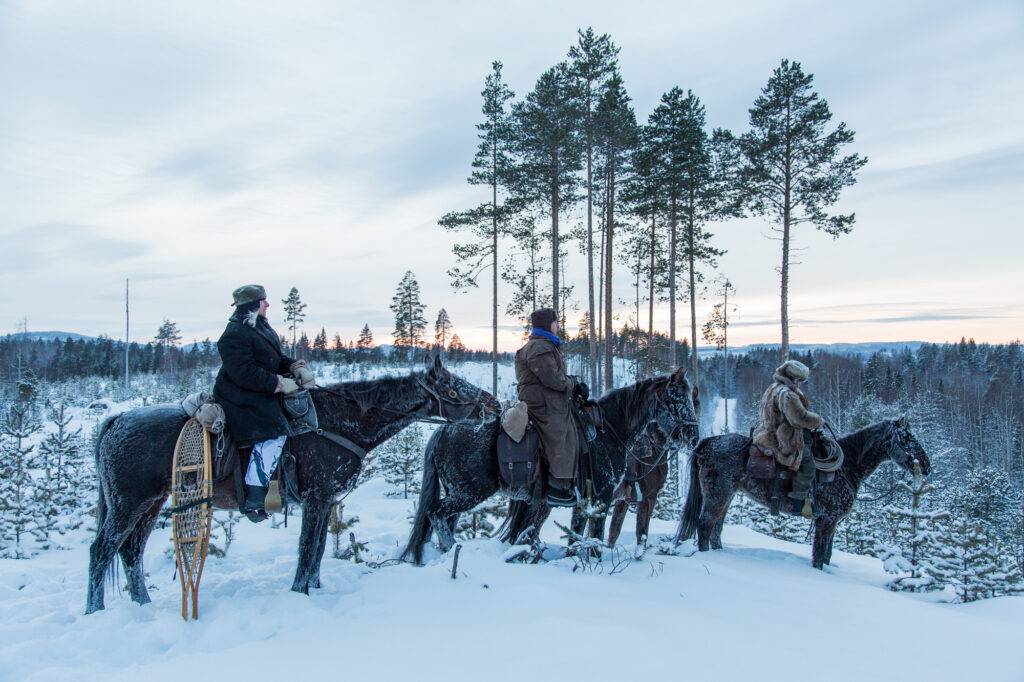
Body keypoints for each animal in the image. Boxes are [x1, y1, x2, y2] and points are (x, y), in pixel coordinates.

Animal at [83, 356, 491, 610]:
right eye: (454, 388)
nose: (495, 405)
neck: (340, 422)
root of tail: (115, 421)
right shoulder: (315, 499)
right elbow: (306, 550)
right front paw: (299, 593)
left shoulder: (326, 502)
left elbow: (318, 551)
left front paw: (313, 589)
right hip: (129, 503)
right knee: (101, 551)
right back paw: (94, 609)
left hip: (151, 503)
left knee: (130, 552)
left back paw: (142, 604)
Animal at [403, 368, 700, 561]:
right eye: (677, 399)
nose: (694, 437)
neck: (609, 430)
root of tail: (445, 429)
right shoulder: (604, 497)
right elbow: (597, 534)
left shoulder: (585, 501)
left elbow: (577, 534)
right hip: (470, 492)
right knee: (436, 514)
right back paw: (453, 550)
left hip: (461, 492)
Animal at [675, 413, 933, 569]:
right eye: (907, 439)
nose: (927, 466)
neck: (847, 466)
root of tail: (708, 443)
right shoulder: (826, 519)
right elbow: (819, 555)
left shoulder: (831, 522)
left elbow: (827, 554)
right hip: (718, 495)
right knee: (705, 525)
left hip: (725, 497)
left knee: (716, 529)